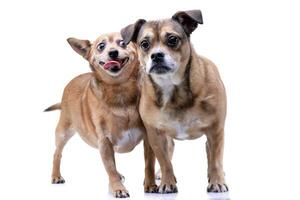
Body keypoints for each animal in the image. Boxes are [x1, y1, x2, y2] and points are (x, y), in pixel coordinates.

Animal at [44, 32, 158, 197]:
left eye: (123, 43)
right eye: (101, 46)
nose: (113, 52)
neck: (119, 90)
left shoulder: (148, 139)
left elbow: (149, 164)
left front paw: (150, 184)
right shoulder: (104, 142)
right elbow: (110, 168)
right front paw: (118, 189)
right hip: (63, 133)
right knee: (57, 154)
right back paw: (56, 176)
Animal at [120, 10, 229, 193]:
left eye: (172, 39)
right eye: (144, 44)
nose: (156, 55)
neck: (172, 88)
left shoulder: (215, 131)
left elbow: (215, 159)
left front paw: (217, 181)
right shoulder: (155, 136)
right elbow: (165, 162)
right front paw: (167, 182)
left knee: (212, 155)